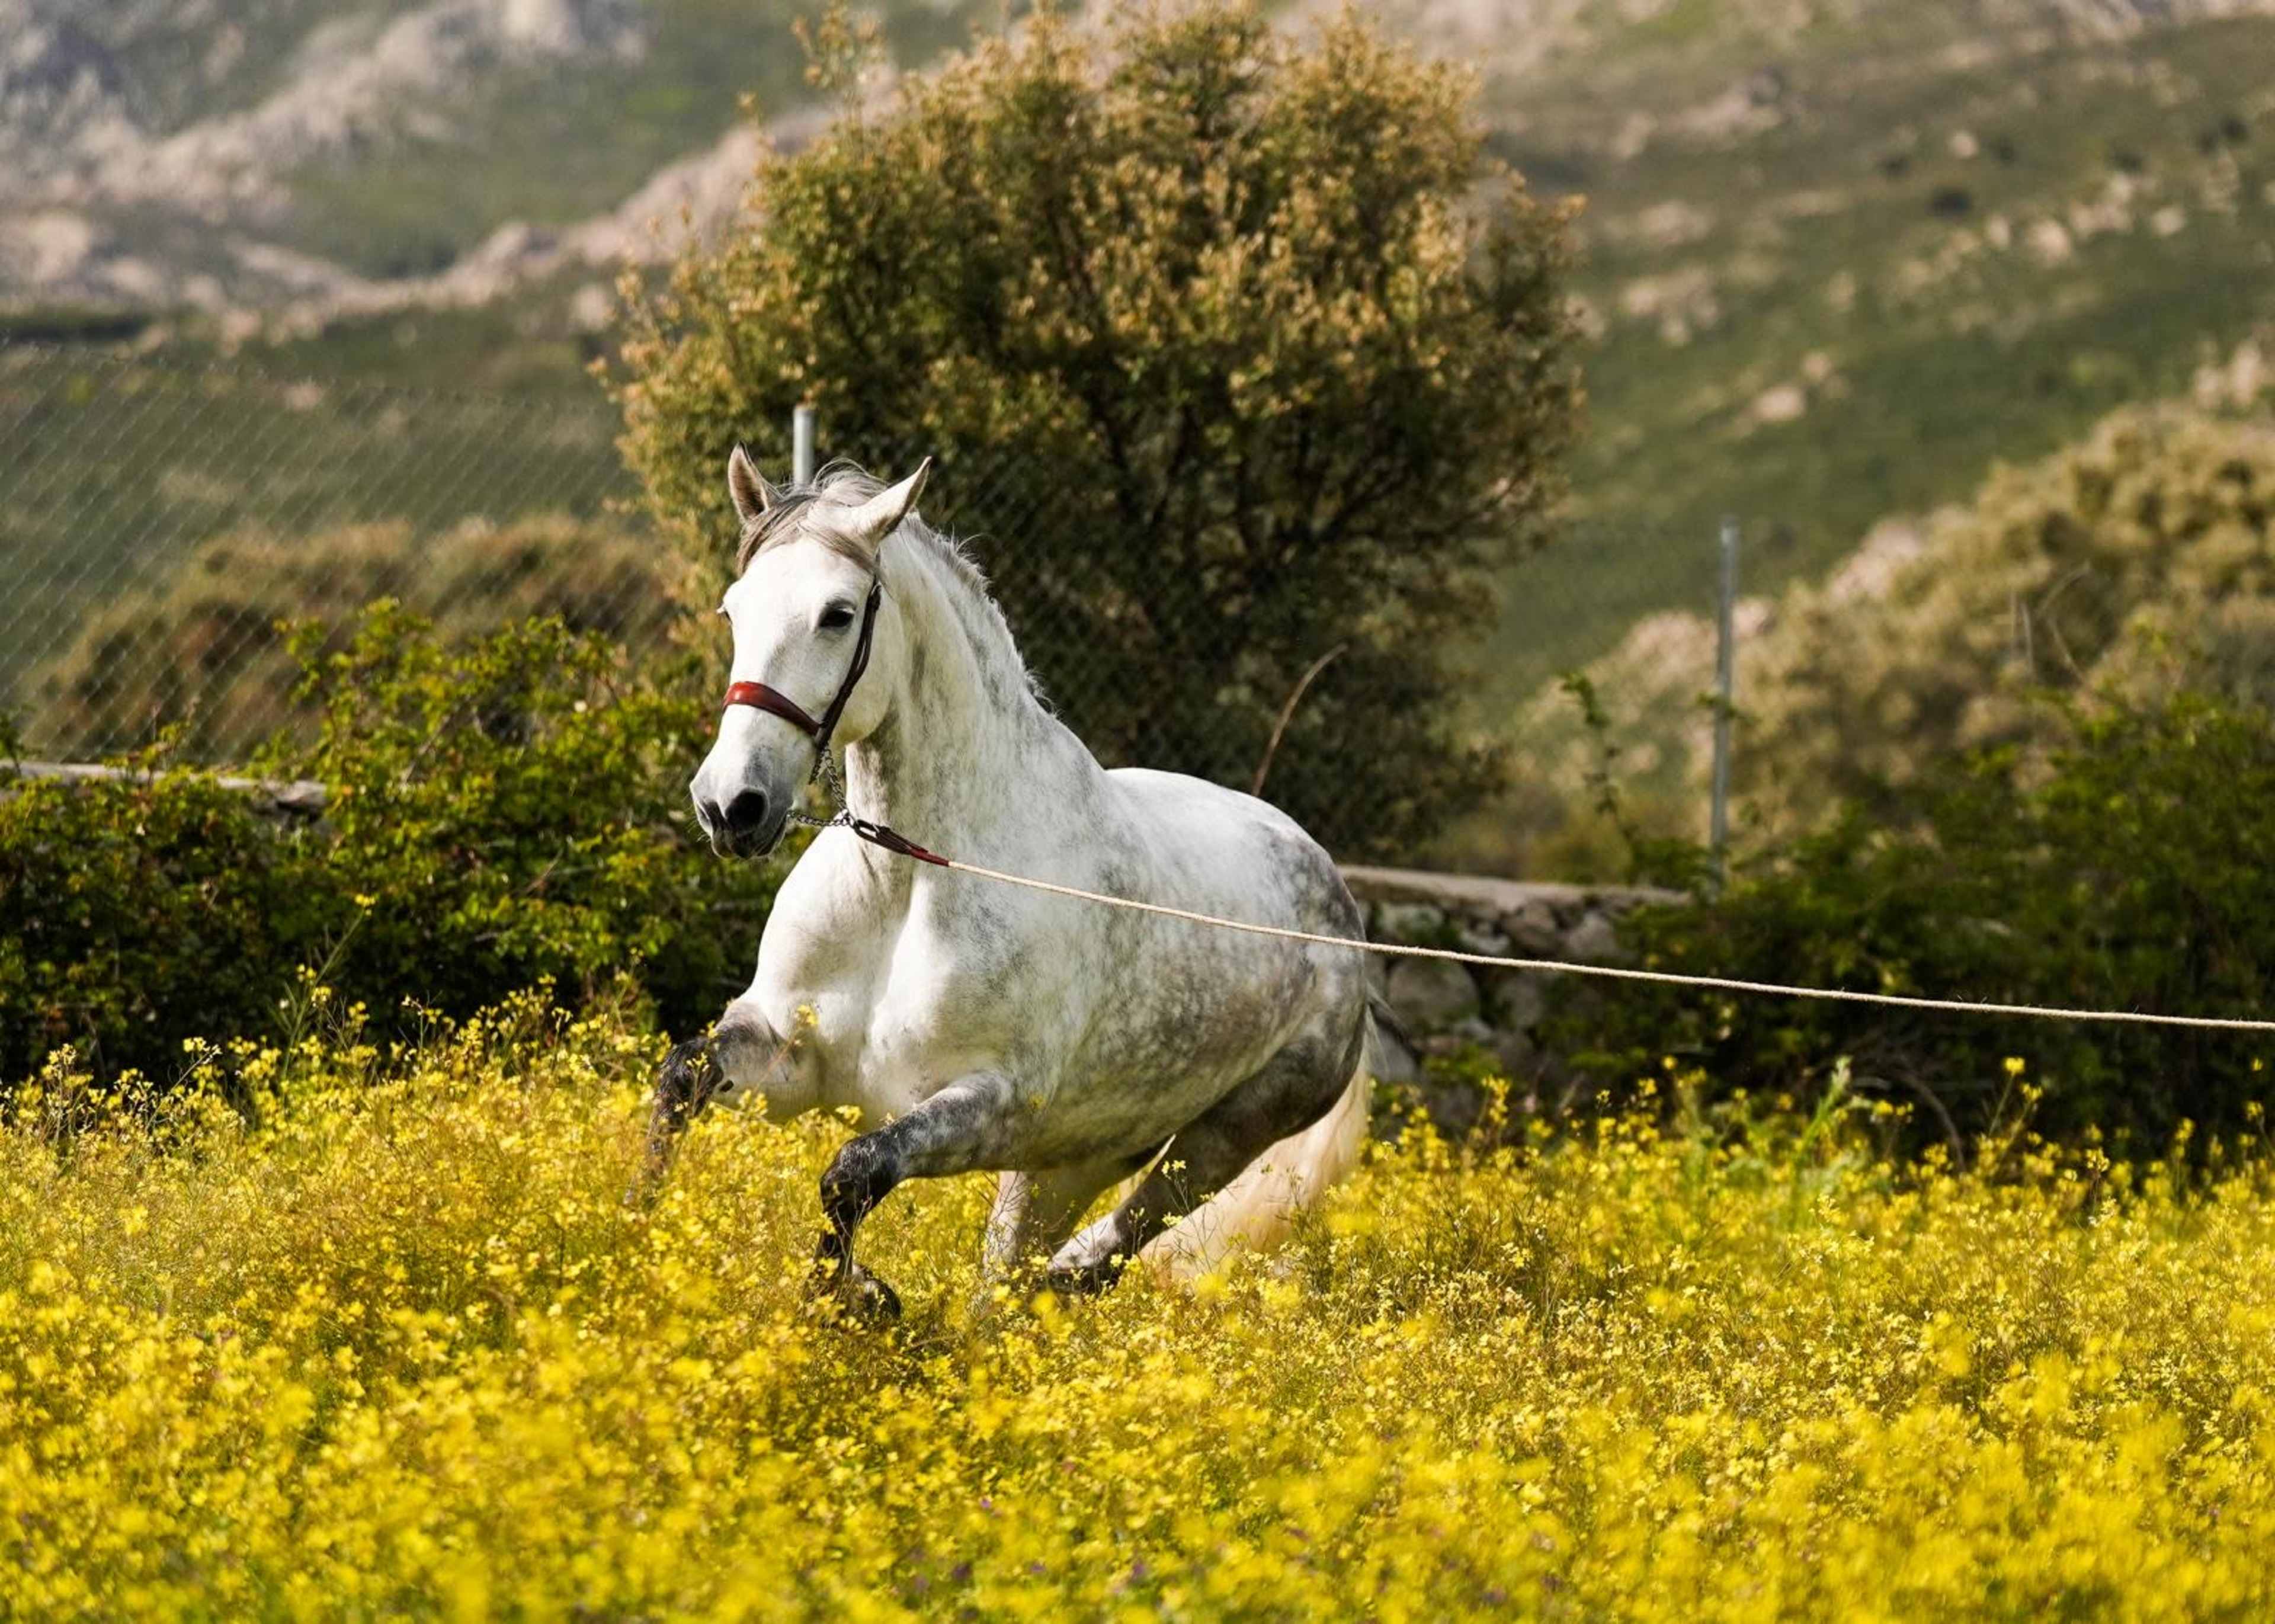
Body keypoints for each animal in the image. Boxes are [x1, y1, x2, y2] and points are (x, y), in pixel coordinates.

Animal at [642, 449, 1379, 1320]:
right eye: (734, 611)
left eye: (837, 614)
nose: (731, 805)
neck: (906, 879)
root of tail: (1342, 912)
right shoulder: (789, 1058)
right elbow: (680, 1080)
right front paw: (633, 1234)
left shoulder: (987, 1105)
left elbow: (855, 1170)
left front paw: (849, 1300)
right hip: (1076, 1155)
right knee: (1014, 1276)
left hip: (1221, 1135)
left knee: (1103, 1252)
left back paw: (1062, 1275)